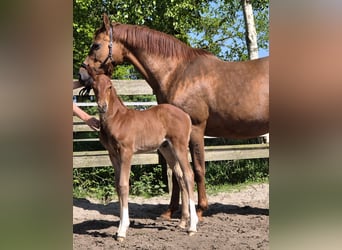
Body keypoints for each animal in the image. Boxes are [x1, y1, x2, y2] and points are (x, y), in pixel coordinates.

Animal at [79, 14, 268, 221]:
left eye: (96, 45)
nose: (81, 74)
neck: (178, 73)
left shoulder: (196, 129)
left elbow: (197, 169)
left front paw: (200, 210)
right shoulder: (170, 138)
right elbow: (177, 173)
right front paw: (171, 210)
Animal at [91, 73, 198, 241]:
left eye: (109, 86)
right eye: (94, 87)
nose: (102, 106)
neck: (117, 119)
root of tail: (186, 115)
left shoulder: (126, 152)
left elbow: (123, 185)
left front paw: (122, 231)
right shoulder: (113, 155)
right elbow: (117, 186)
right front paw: (121, 226)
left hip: (180, 146)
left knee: (188, 175)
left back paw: (192, 227)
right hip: (167, 149)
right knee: (180, 176)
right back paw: (182, 222)